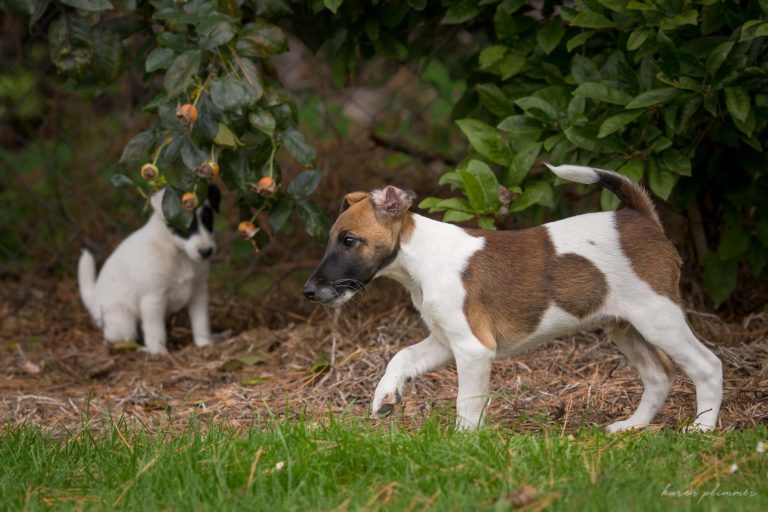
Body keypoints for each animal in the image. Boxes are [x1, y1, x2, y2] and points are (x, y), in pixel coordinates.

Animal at [77, 186, 219, 354]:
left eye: (208, 219)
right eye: (183, 224)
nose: (206, 252)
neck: (179, 255)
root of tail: (93, 301)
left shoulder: (198, 293)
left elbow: (201, 322)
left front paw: (204, 343)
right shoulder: (153, 300)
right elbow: (156, 332)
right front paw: (159, 353)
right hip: (124, 321)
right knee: (114, 339)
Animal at [304, 166, 724, 430]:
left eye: (349, 240)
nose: (309, 291)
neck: (421, 257)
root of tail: (639, 217)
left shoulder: (473, 349)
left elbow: (467, 404)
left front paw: (463, 444)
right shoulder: (444, 342)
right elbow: (400, 357)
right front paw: (386, 396)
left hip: (658, 317)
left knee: (707, 365)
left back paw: (702, 428)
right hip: (624, 327)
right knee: (658, 374)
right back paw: (633, 426)